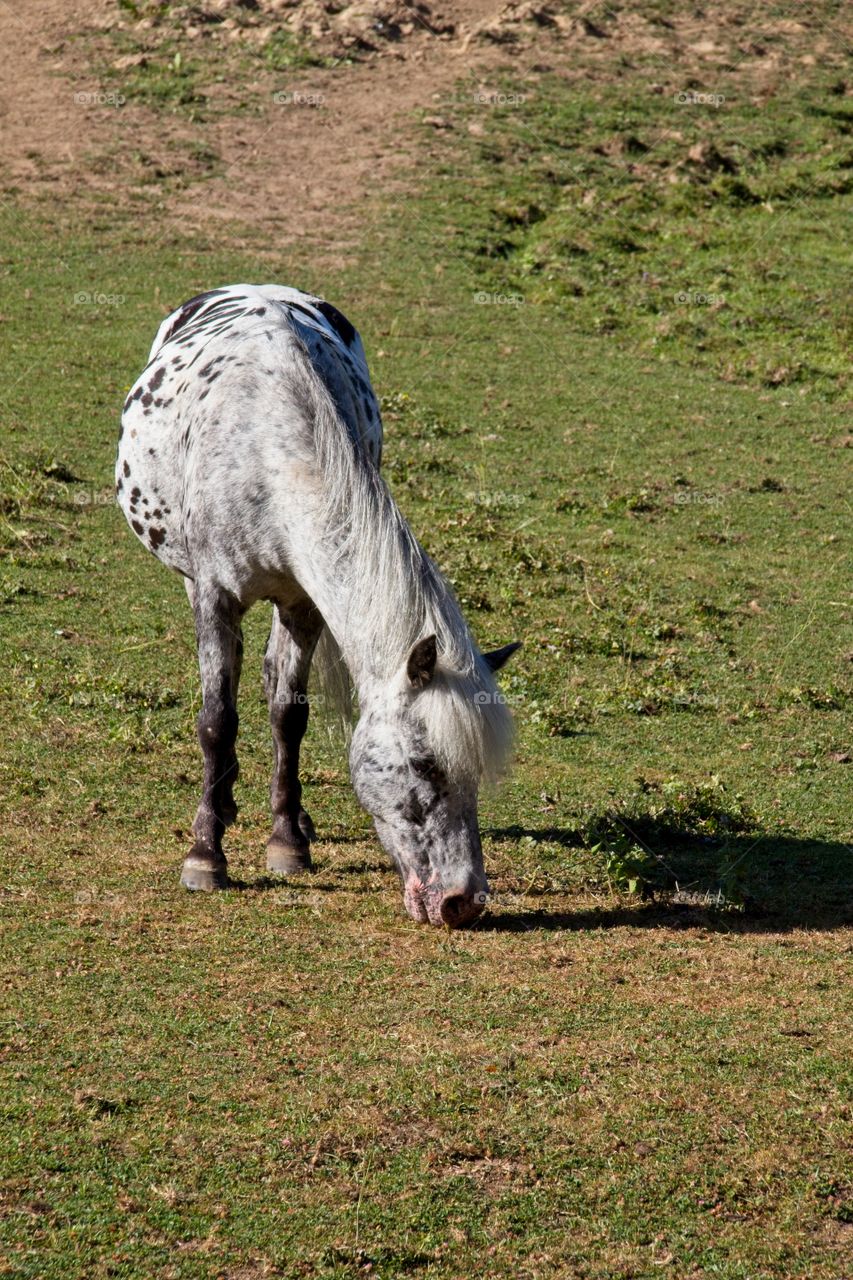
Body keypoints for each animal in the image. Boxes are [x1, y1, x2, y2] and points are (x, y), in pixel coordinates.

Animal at [116, 284, 519, 928]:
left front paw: (287, 841)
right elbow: (216, 720)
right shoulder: (214, 595)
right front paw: (206, 855)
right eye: (425, 764)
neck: (265, 446)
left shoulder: (303, 601)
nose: (464, 902)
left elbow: (288, 712)